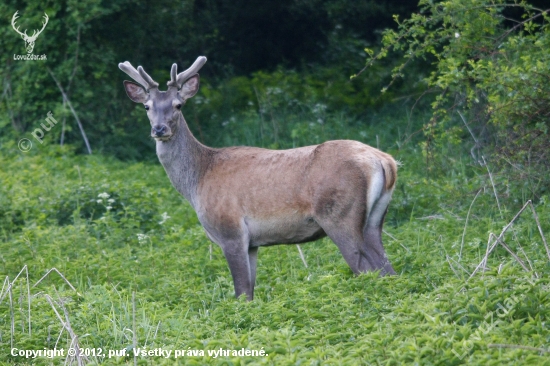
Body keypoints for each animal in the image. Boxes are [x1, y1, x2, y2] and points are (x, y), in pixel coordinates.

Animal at [118, 56, 398, 300]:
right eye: (147, 106)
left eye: (178, 105)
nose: (159, 129)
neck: (198, 179)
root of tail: (384, 161)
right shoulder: (252, 243)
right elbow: (251, 292)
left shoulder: (230, 231)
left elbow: (241, 293)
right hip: (374, 220)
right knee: (388, 269)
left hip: (339, 215)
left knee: (367, 269)